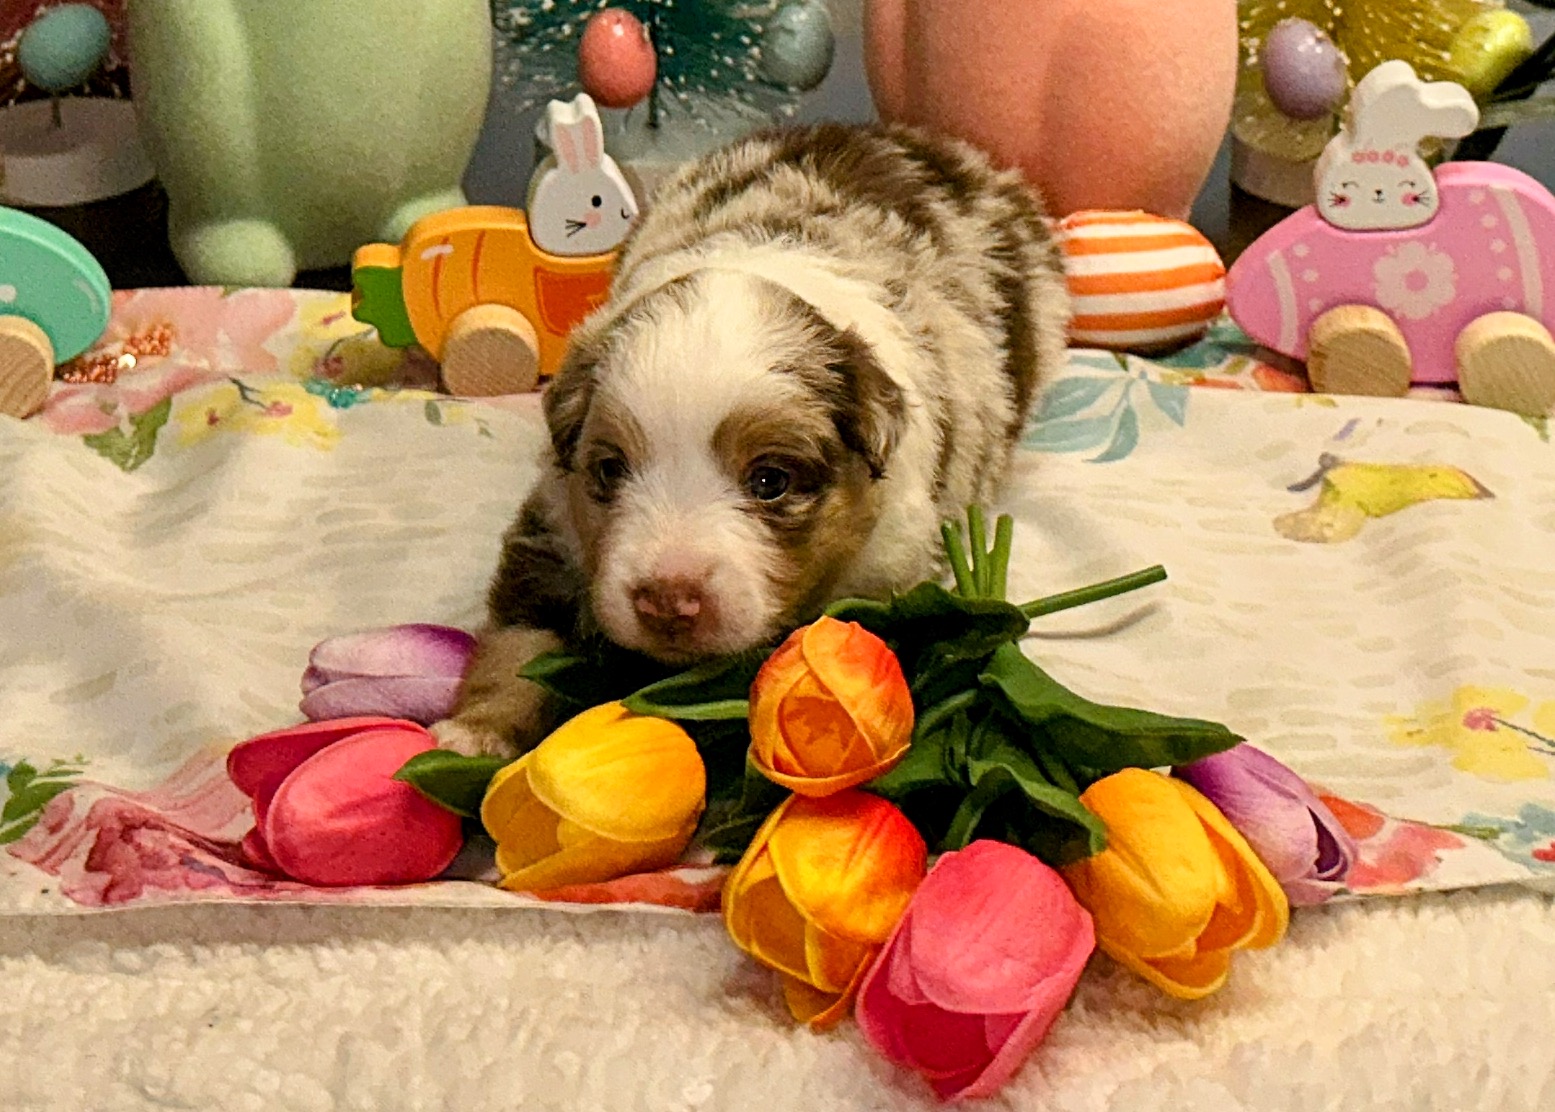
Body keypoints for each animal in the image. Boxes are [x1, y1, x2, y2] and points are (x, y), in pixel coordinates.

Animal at [435, 123, 1070, 758]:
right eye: (611, 470)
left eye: (770, 481)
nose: (667, 601)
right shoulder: (553, 523)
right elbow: (519, 643)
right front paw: (474, 734)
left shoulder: (895, 568)